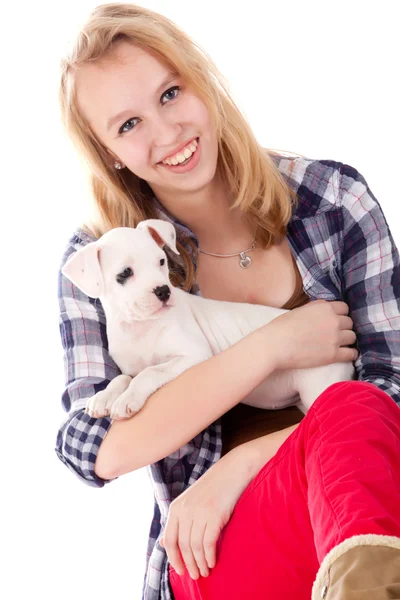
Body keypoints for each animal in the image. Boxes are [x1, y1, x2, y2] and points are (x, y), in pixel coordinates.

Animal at [61, 218, 354, 420]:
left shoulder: (193, 355)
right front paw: (103, 397)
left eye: (161, 262)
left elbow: (149, 372)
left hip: (319, 386)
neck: (140, 326)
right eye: (125, 273)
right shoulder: (130, 366)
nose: (164, 291)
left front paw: (126, 400)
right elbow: (123, 377)